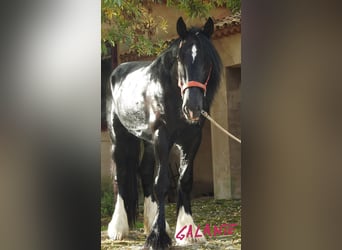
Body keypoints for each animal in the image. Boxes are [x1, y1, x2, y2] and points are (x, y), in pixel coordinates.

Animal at [107, 17, 223, 248]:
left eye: (207, 60)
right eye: (180, 59)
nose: (192, 108)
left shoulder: (192, 139)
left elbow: (185, 180)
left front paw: (187, 230)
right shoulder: (163, 137)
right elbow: (161, 183)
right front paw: (158, 236)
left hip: (148, 142)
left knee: (143, 172)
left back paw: (150, 222)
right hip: (119, 137)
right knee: (120, 175)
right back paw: (118, 228)